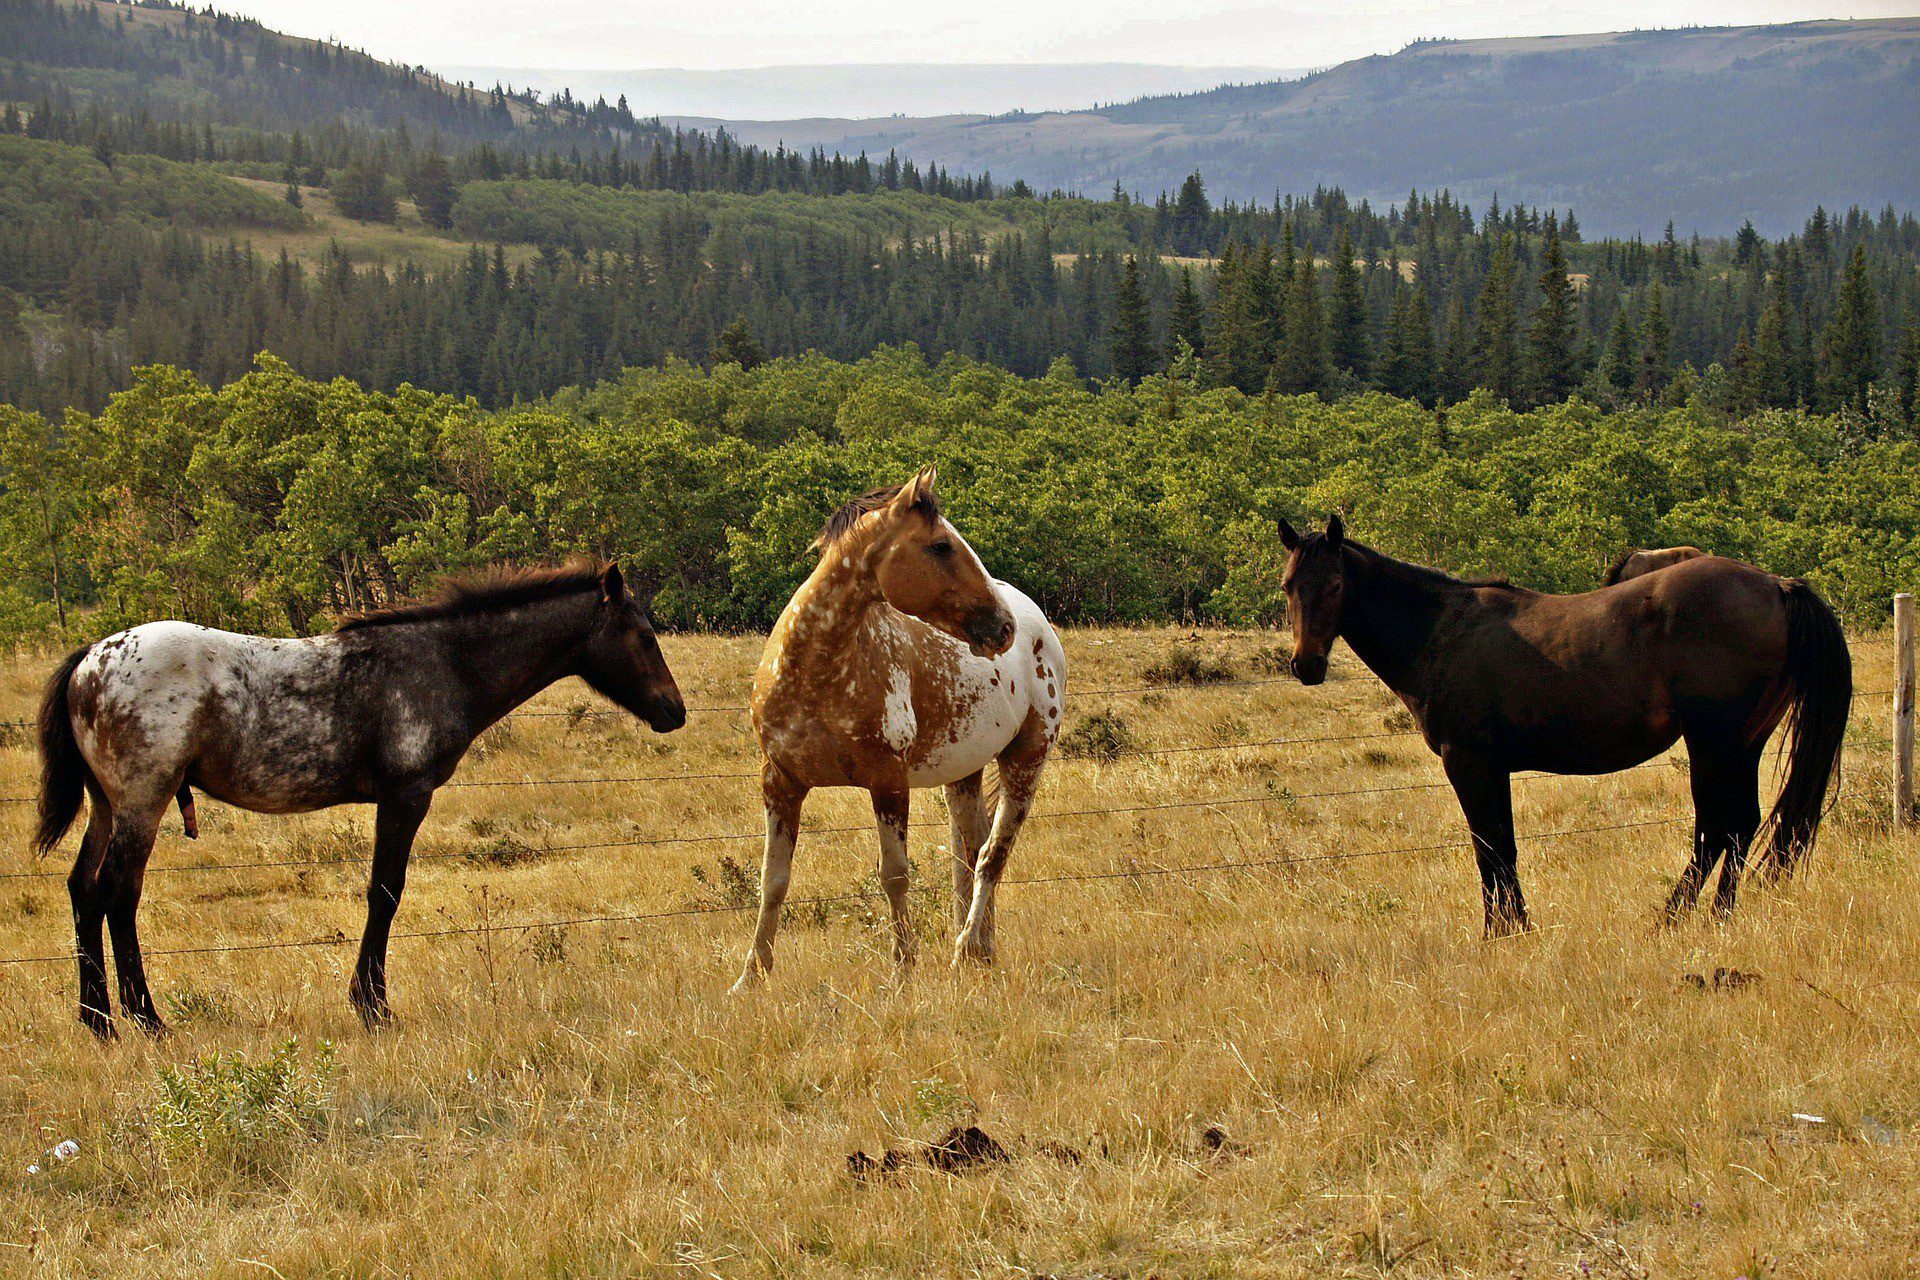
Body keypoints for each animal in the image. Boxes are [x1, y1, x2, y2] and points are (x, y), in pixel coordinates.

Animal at [34, 561, 685, 1038]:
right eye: (645, 635)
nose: (674, 712)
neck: (444, 662)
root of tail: (89, 660)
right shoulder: (405, 796)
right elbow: (385, 893)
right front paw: (372, 1006)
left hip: (107, 806)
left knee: (84, 889)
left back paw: (97, 1021)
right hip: (143, 802)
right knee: (118, 892)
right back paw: (145, 1019)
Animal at [735, 467, 1064, 989]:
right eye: (941, 546)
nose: (1003, 627)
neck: (817, 672)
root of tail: (1041, 628)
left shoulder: (887, 782)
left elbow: (894, 875)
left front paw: (904, 968)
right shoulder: (780, 782)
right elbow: (773, 881)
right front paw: (751, 976)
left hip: (1026, 761)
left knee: (992, 856)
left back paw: (963, 949)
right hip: (964, 775)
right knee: (970, 854)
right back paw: (979, 952)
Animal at [1277, 516, 1850, 934]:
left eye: (1335, 586)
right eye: (1287, 586)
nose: (1306, 666)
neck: (1441, 629)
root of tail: (1778, 586)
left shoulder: (1469, 762)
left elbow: (1490, 849)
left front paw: (1501, 932)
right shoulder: (1490, 767)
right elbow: (1501, 847)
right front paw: (1515, 926)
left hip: (1714, 745)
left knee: (1716, 830)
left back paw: (1673, 919)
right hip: (1744, 743)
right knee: (1739, 827)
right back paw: (1719, 917)